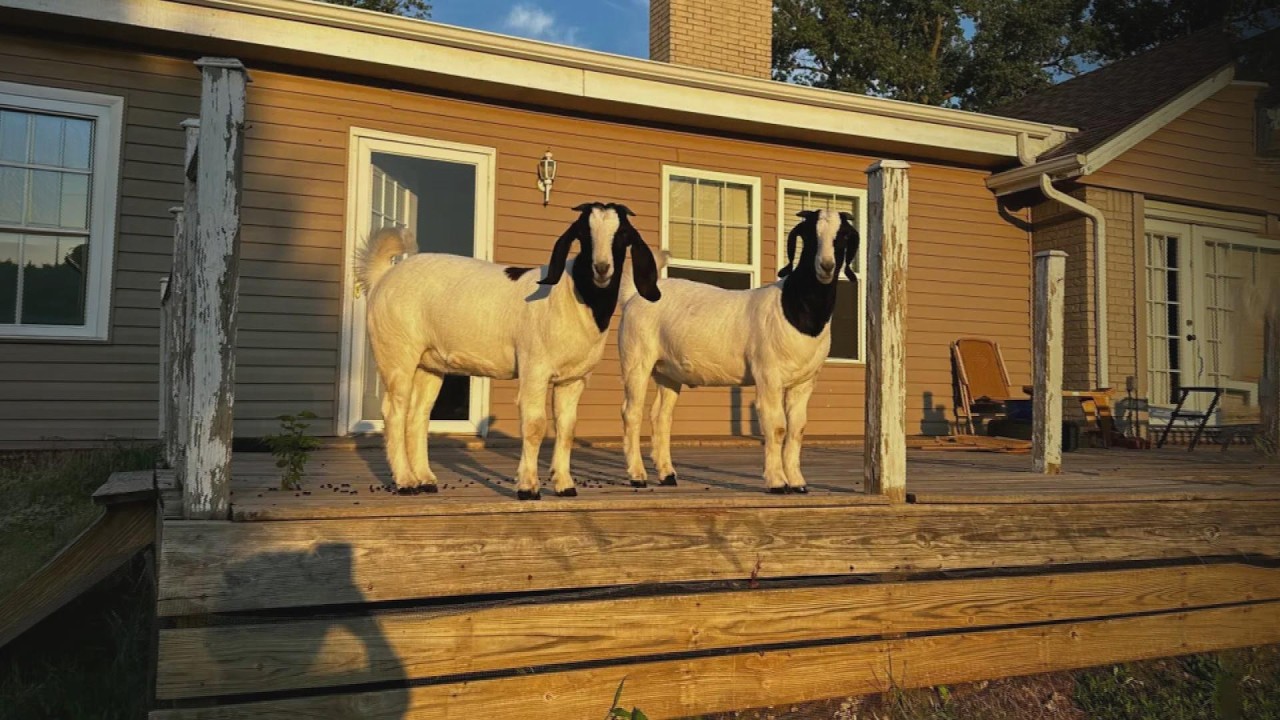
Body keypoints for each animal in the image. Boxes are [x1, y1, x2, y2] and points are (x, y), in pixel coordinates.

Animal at [356, 202, 661, 500]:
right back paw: (405, 481)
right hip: (397, 353)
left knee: (418, 415)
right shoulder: (534, 367)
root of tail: (383, 277)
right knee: (394, 412)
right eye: (584, 235)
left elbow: (566, 428)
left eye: (622, 235)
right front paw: (528, 487)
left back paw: (425, 480)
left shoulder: (573, 379)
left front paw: (564, 485)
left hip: (429, 364)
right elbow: (535, 425)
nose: (602, 268)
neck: (574, 296)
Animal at [618, 209, 858, 493]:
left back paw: (668, 475)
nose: (826, 266)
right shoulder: (768, 375)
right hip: (636, 360)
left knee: (661, 417)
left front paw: (798, 482)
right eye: (810, 235)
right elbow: (777, 427)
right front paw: (777, 482)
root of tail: (634, 296)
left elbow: (797, 429)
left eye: (843, 236)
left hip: (667, 372)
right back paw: (637, 475)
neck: (792, 307)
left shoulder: (805, 382)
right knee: (632, 413)